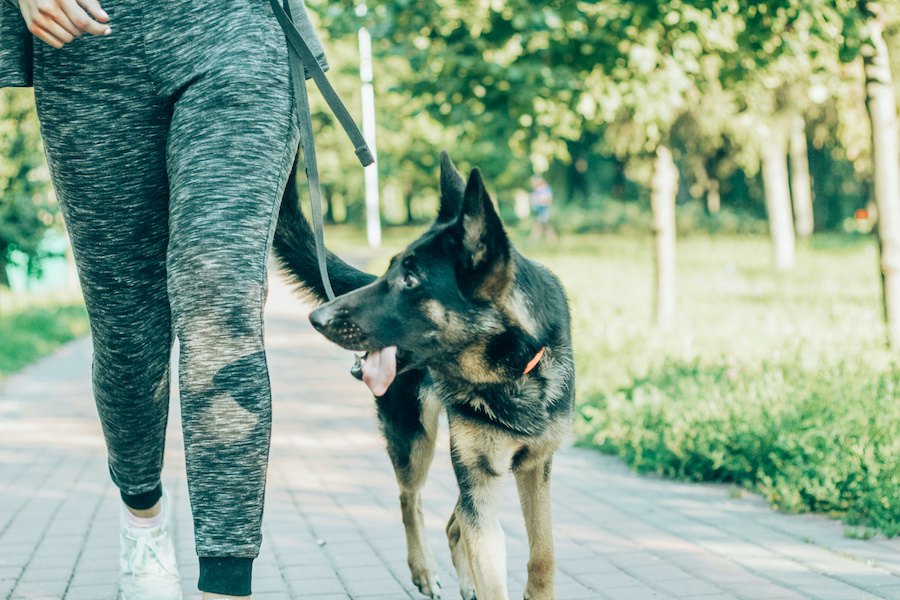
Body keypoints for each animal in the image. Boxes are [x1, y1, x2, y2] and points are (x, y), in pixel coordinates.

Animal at [270, 152, 572, 600]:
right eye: (390, 271)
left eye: (410, 280)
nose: (317, 318)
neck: (509, 373)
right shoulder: (480, 480)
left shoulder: (535, 468)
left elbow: (543, 556)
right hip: (415, 442)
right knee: (410, 500)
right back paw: (424, 570)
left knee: (453, 522)